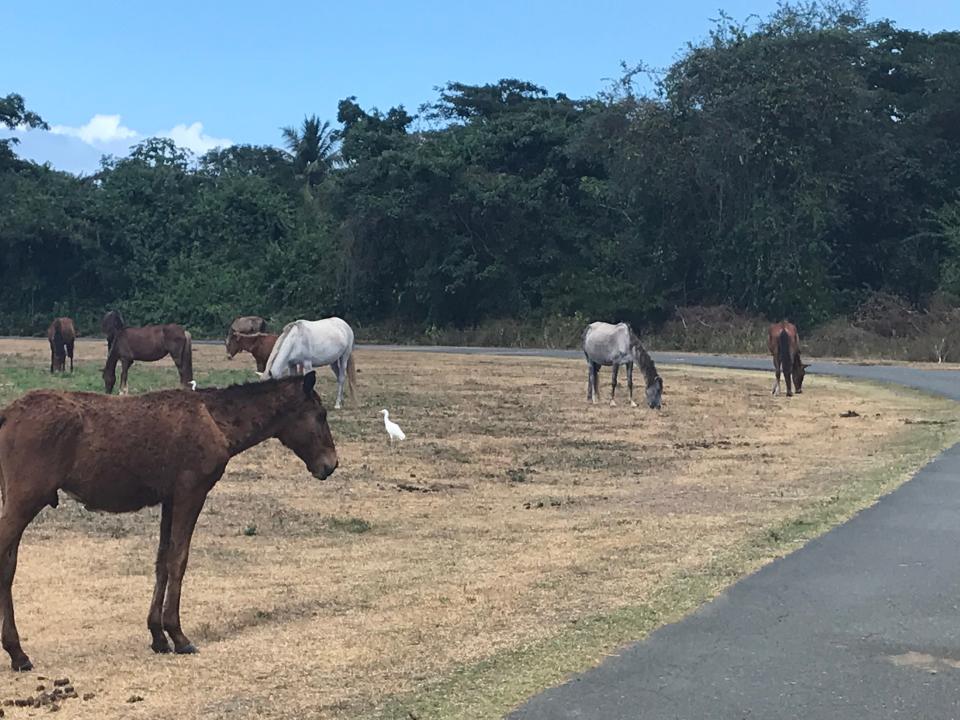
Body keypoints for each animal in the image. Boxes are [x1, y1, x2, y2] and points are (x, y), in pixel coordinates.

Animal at [0, 374, 338, 672]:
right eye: (320, 415)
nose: (331, 465)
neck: (214, 420)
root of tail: (7, 414)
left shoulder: (169, 499)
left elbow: (162, 560)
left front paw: (158, 635)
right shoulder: (191, 493)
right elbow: (179, 559)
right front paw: (178, 634)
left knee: (9, 565)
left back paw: (17, 652)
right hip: (25, 502)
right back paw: (17, 652)